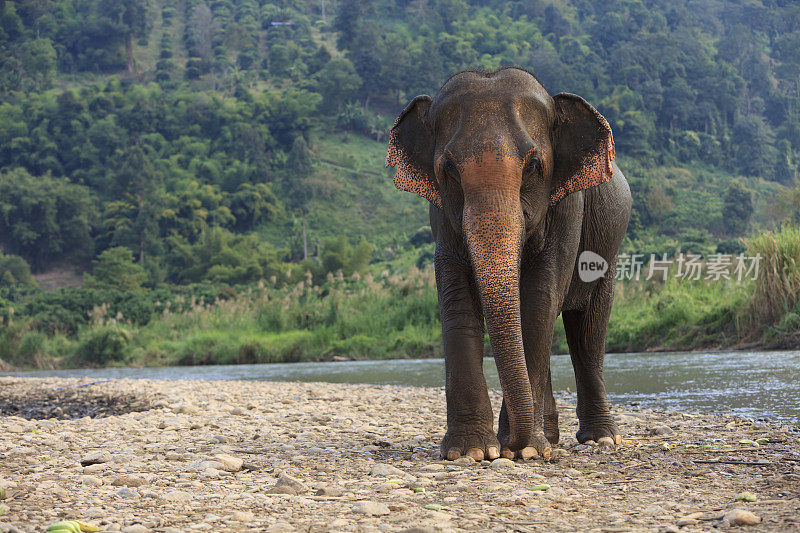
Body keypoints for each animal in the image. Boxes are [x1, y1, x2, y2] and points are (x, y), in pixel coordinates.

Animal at [388, 64, 632, 460]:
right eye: (448, 169)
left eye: (533, 165)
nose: (510, 445)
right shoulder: (440, 212)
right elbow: (455, 295)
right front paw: (472, 452)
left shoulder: (567, 206)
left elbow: (540, 299)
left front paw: (525, 451)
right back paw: (551, 437)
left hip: (608, 251)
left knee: (588, 330)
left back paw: (600, 439)